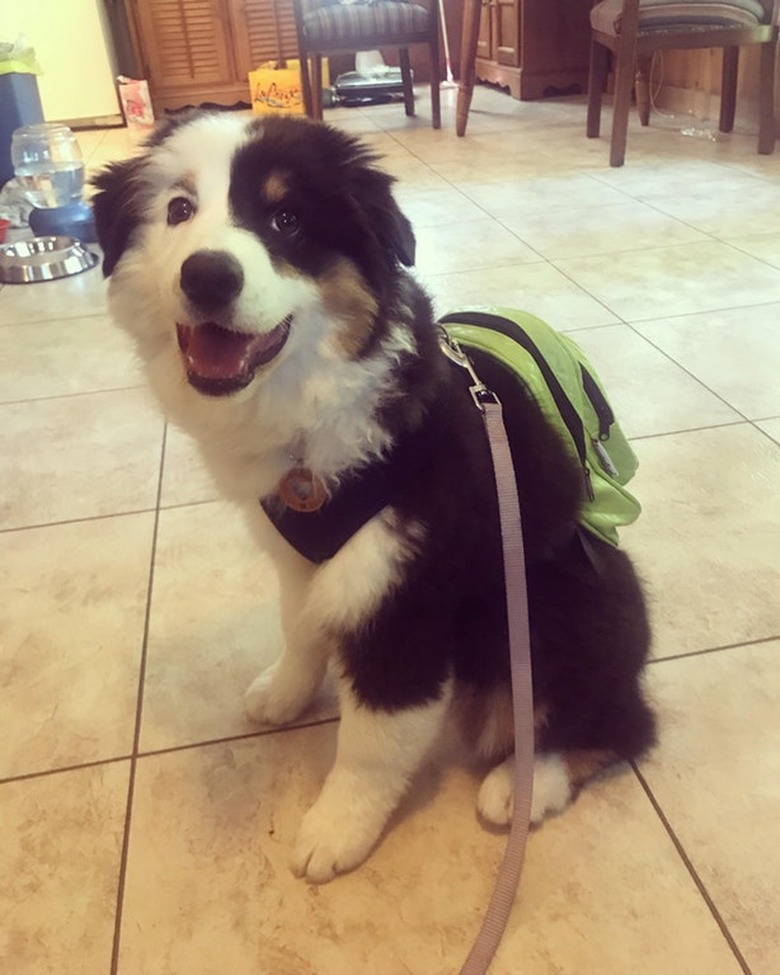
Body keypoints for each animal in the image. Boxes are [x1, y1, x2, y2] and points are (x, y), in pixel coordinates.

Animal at [91, 112, 656, 884]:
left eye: (287, 218)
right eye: (178, 209)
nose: (207, 275)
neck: (314, 410)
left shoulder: (404, 594)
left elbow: (373, 739)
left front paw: (336, 831)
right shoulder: (304, 559)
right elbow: (300, 628)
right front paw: (284, 692)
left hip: (563, 603)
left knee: (621, 723)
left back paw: (524, 784)